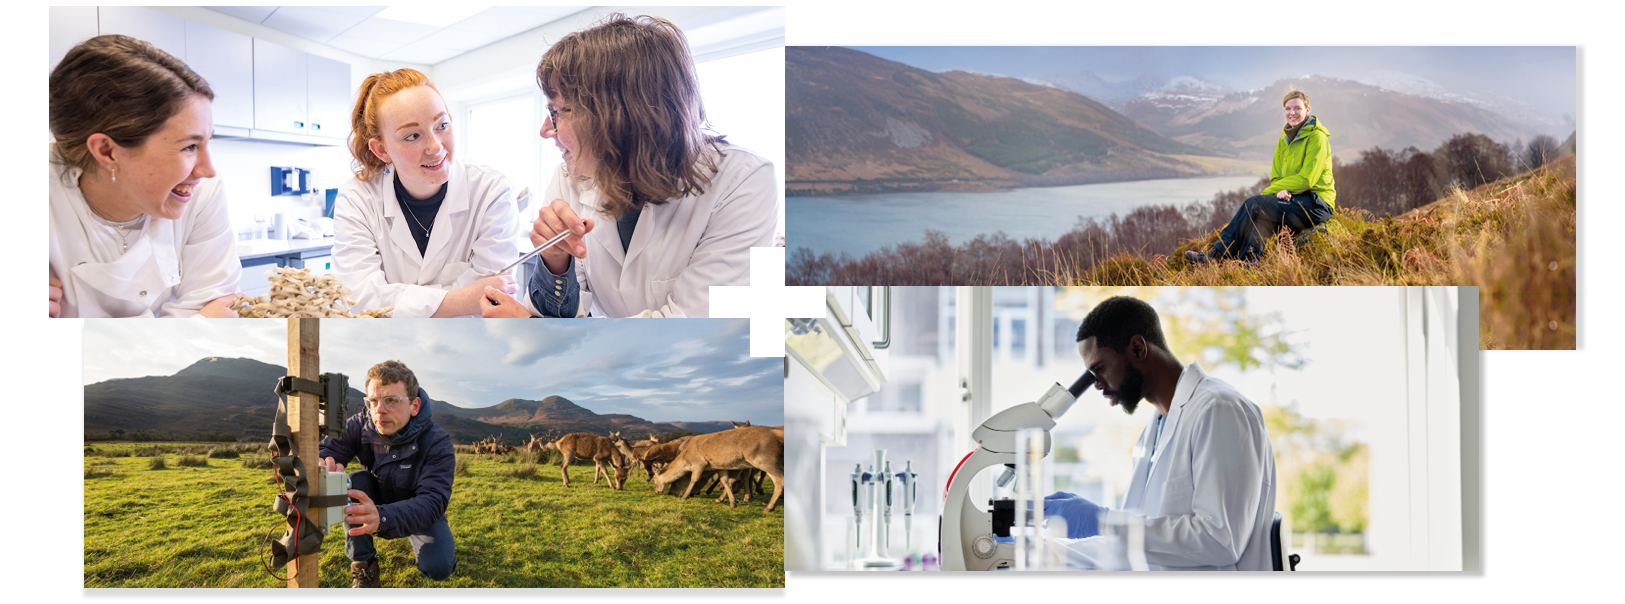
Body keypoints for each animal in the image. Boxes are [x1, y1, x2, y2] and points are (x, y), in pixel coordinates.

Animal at [650, 425, 783, 513]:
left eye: (654, 480)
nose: (658, 492)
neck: (685, 458)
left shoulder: (699, 463)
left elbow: (694, 479)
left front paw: (685, 496)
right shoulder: (719, 466)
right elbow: (725, 480)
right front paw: (731, 502)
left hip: (765, 460)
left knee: (779, 481)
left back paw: (768, 507)